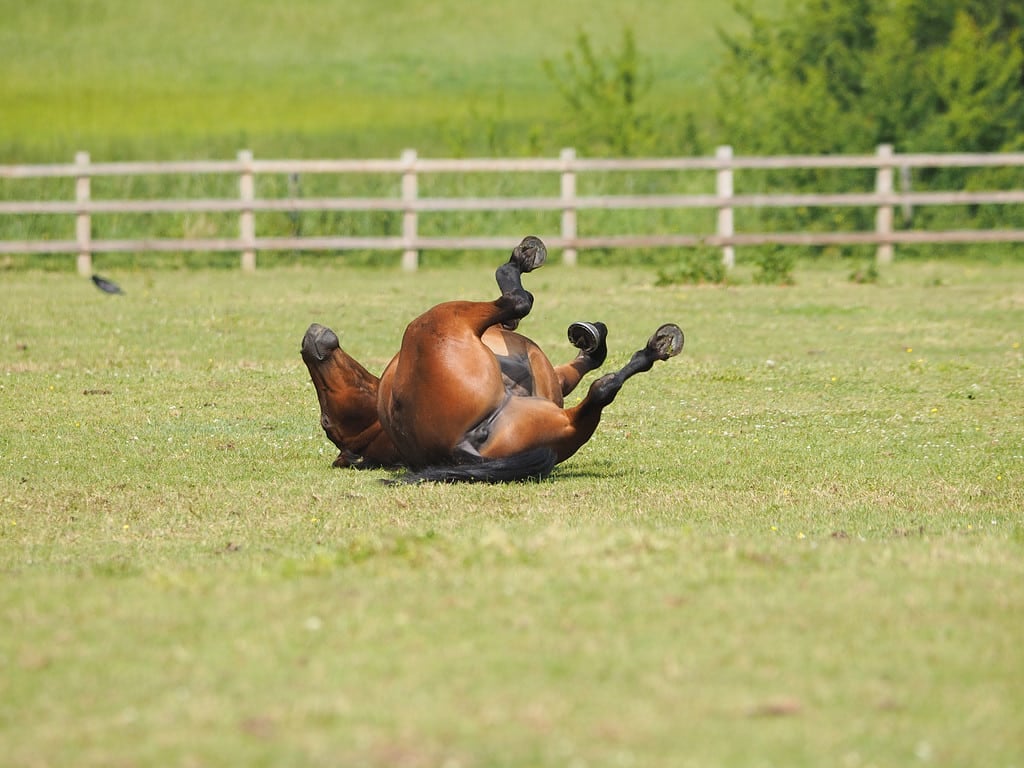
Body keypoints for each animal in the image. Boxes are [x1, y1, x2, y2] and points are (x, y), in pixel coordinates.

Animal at [301, 236, 683, 483]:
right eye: (327, 421)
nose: (309, 343)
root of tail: (459, 446)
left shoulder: (552, 380)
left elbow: (578, 366)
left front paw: (590, 339)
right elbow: (519, 309)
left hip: (561, 428)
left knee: (592, 399)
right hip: (442, 318)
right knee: (596, 381)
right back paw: (658, 345)